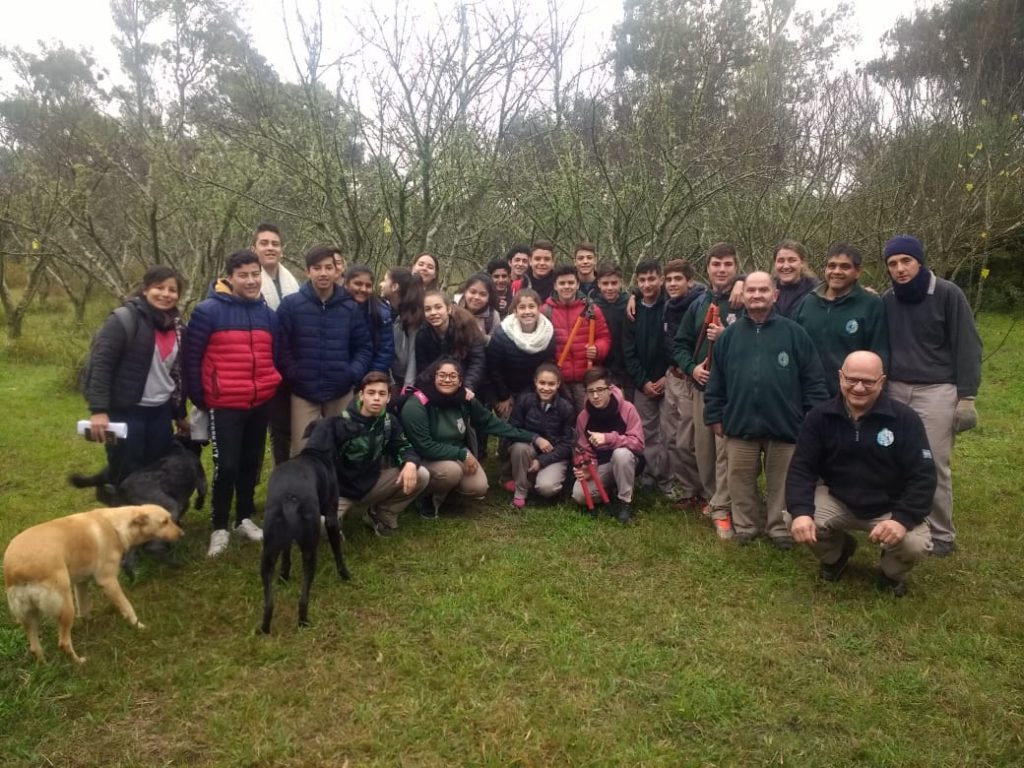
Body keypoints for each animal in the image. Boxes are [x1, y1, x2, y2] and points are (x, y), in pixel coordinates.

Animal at [3, 505, 184, 663]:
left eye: (170, 519)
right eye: (165, 522)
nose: (182, 534)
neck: (115, 525)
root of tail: (17, 569)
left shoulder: (81, 583)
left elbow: (84, 610)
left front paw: (91, 624)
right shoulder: (109, 581)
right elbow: (127, 607)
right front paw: (139, 626)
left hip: (30, 617)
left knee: (35, 648)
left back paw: (45, 665)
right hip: (65, 608)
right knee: (63, 642)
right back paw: (79, 662)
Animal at [68, 438, 207, 577]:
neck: (179, 448)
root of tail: (121, 490)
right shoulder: (200, 480)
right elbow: (202, 494)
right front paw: (198, 506)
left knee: (128, 559)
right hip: (169, 508)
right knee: (152, 547)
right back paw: (173, 561)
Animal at [260, 417, 364, 634]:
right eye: (347, 423)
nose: (362, 426)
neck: (316, 451)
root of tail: (290, 500)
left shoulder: (285, 541)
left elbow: (286, 557)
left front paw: (284, 576)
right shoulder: (331, 517)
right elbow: (338, 552)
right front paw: (345, 574)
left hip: (268, 553)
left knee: (269, 603)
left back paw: (264, 629)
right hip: (309, 549)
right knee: (303, 597)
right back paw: (304, 621)